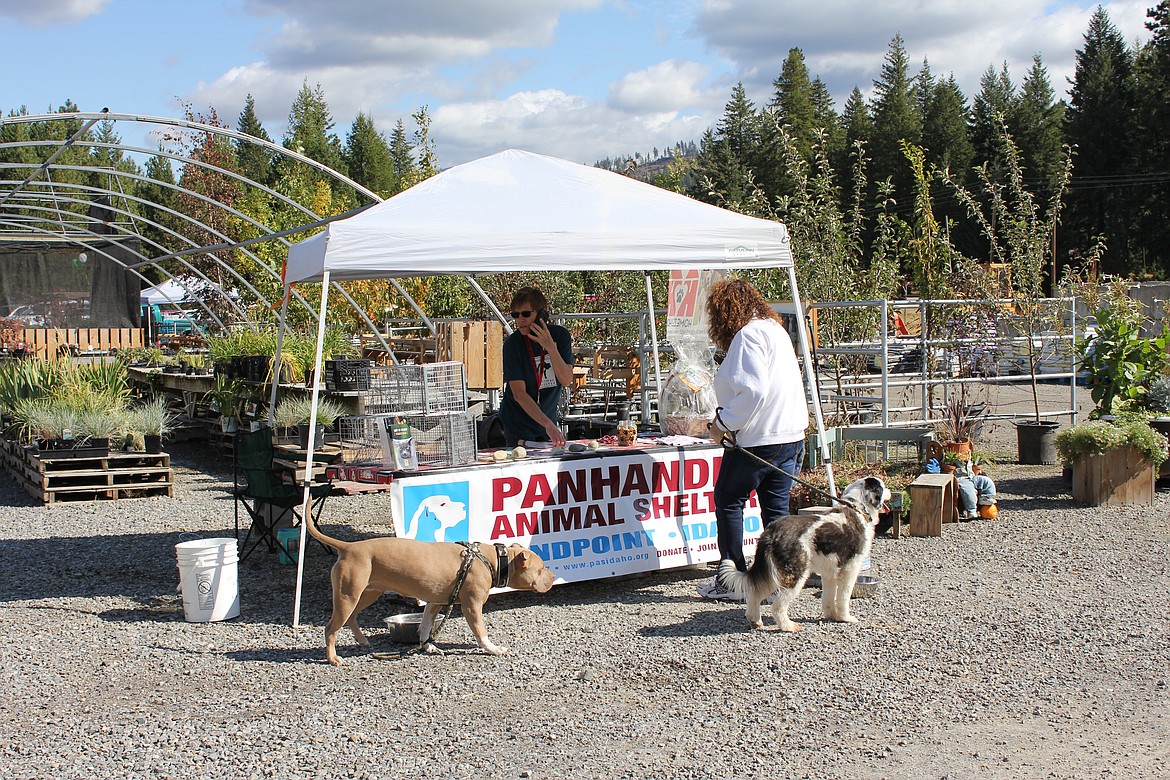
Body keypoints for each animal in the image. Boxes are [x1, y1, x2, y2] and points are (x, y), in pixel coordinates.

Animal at [306, 512, 552, 664]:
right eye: (540, 569)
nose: (553, 576)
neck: (492, 560)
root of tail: (348, 547)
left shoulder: (435, 602)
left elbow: (425, 626)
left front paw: (427, 646)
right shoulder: (471, 606)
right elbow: (481, 633)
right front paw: (493, 649)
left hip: (367, 593)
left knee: (351, 618)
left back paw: (362, 640)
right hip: (348, 596)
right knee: (331, 628)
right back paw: (332, 658)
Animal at [716, 477, 889, 636]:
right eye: (882, 486)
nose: (890, 492)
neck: (857, 508)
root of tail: (771, 532)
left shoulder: (830, 573)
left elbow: (828, 597)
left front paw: (831, 615)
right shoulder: (849, 570)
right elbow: (843, 597)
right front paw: (845, 617)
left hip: (774, 572)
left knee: (754, 594)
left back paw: (755, 621)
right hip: (795, 574)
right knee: (777, 606)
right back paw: (788, 626)